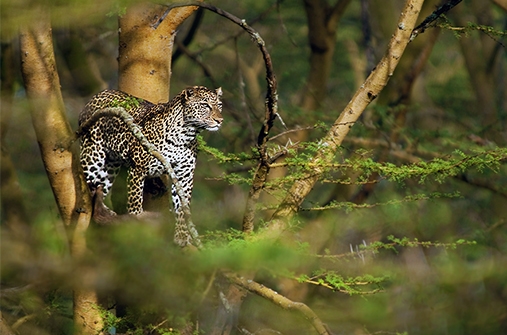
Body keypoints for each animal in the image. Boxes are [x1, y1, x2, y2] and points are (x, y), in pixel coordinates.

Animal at [78, 86, 224, 248]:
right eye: (205, 105)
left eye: (219, 105)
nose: (220, 120)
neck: (185, 135)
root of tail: (95, 96)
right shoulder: (138, 169)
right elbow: (135, 205)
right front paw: (136, 228)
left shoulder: (185, 175)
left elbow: (182, 207)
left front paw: (182, 236)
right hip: (92, 158)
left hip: (108, 168)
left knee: (100, 192)